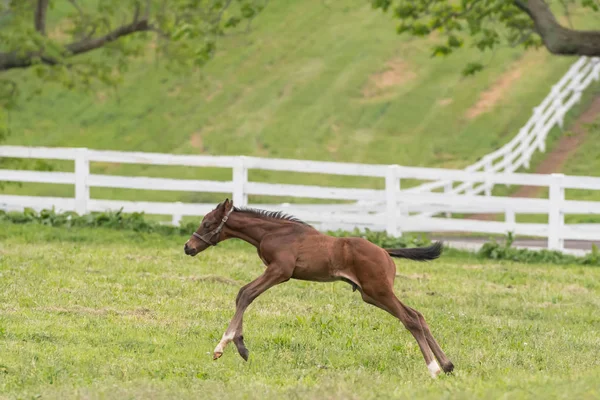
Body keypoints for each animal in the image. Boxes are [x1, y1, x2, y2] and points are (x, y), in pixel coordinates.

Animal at [185, 200, 452, 378]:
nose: (188, 247)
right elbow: (242, 294)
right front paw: (241, 347)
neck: (274, 232)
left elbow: (246, 294)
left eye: (207, 223)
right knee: (418, 315)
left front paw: (222, 347)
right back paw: (448, 365)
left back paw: (434, 369)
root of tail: (386, 252)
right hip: (372, 294)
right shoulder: (275, 272)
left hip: (379, 291)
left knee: (410, 319)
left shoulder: (280, 271)